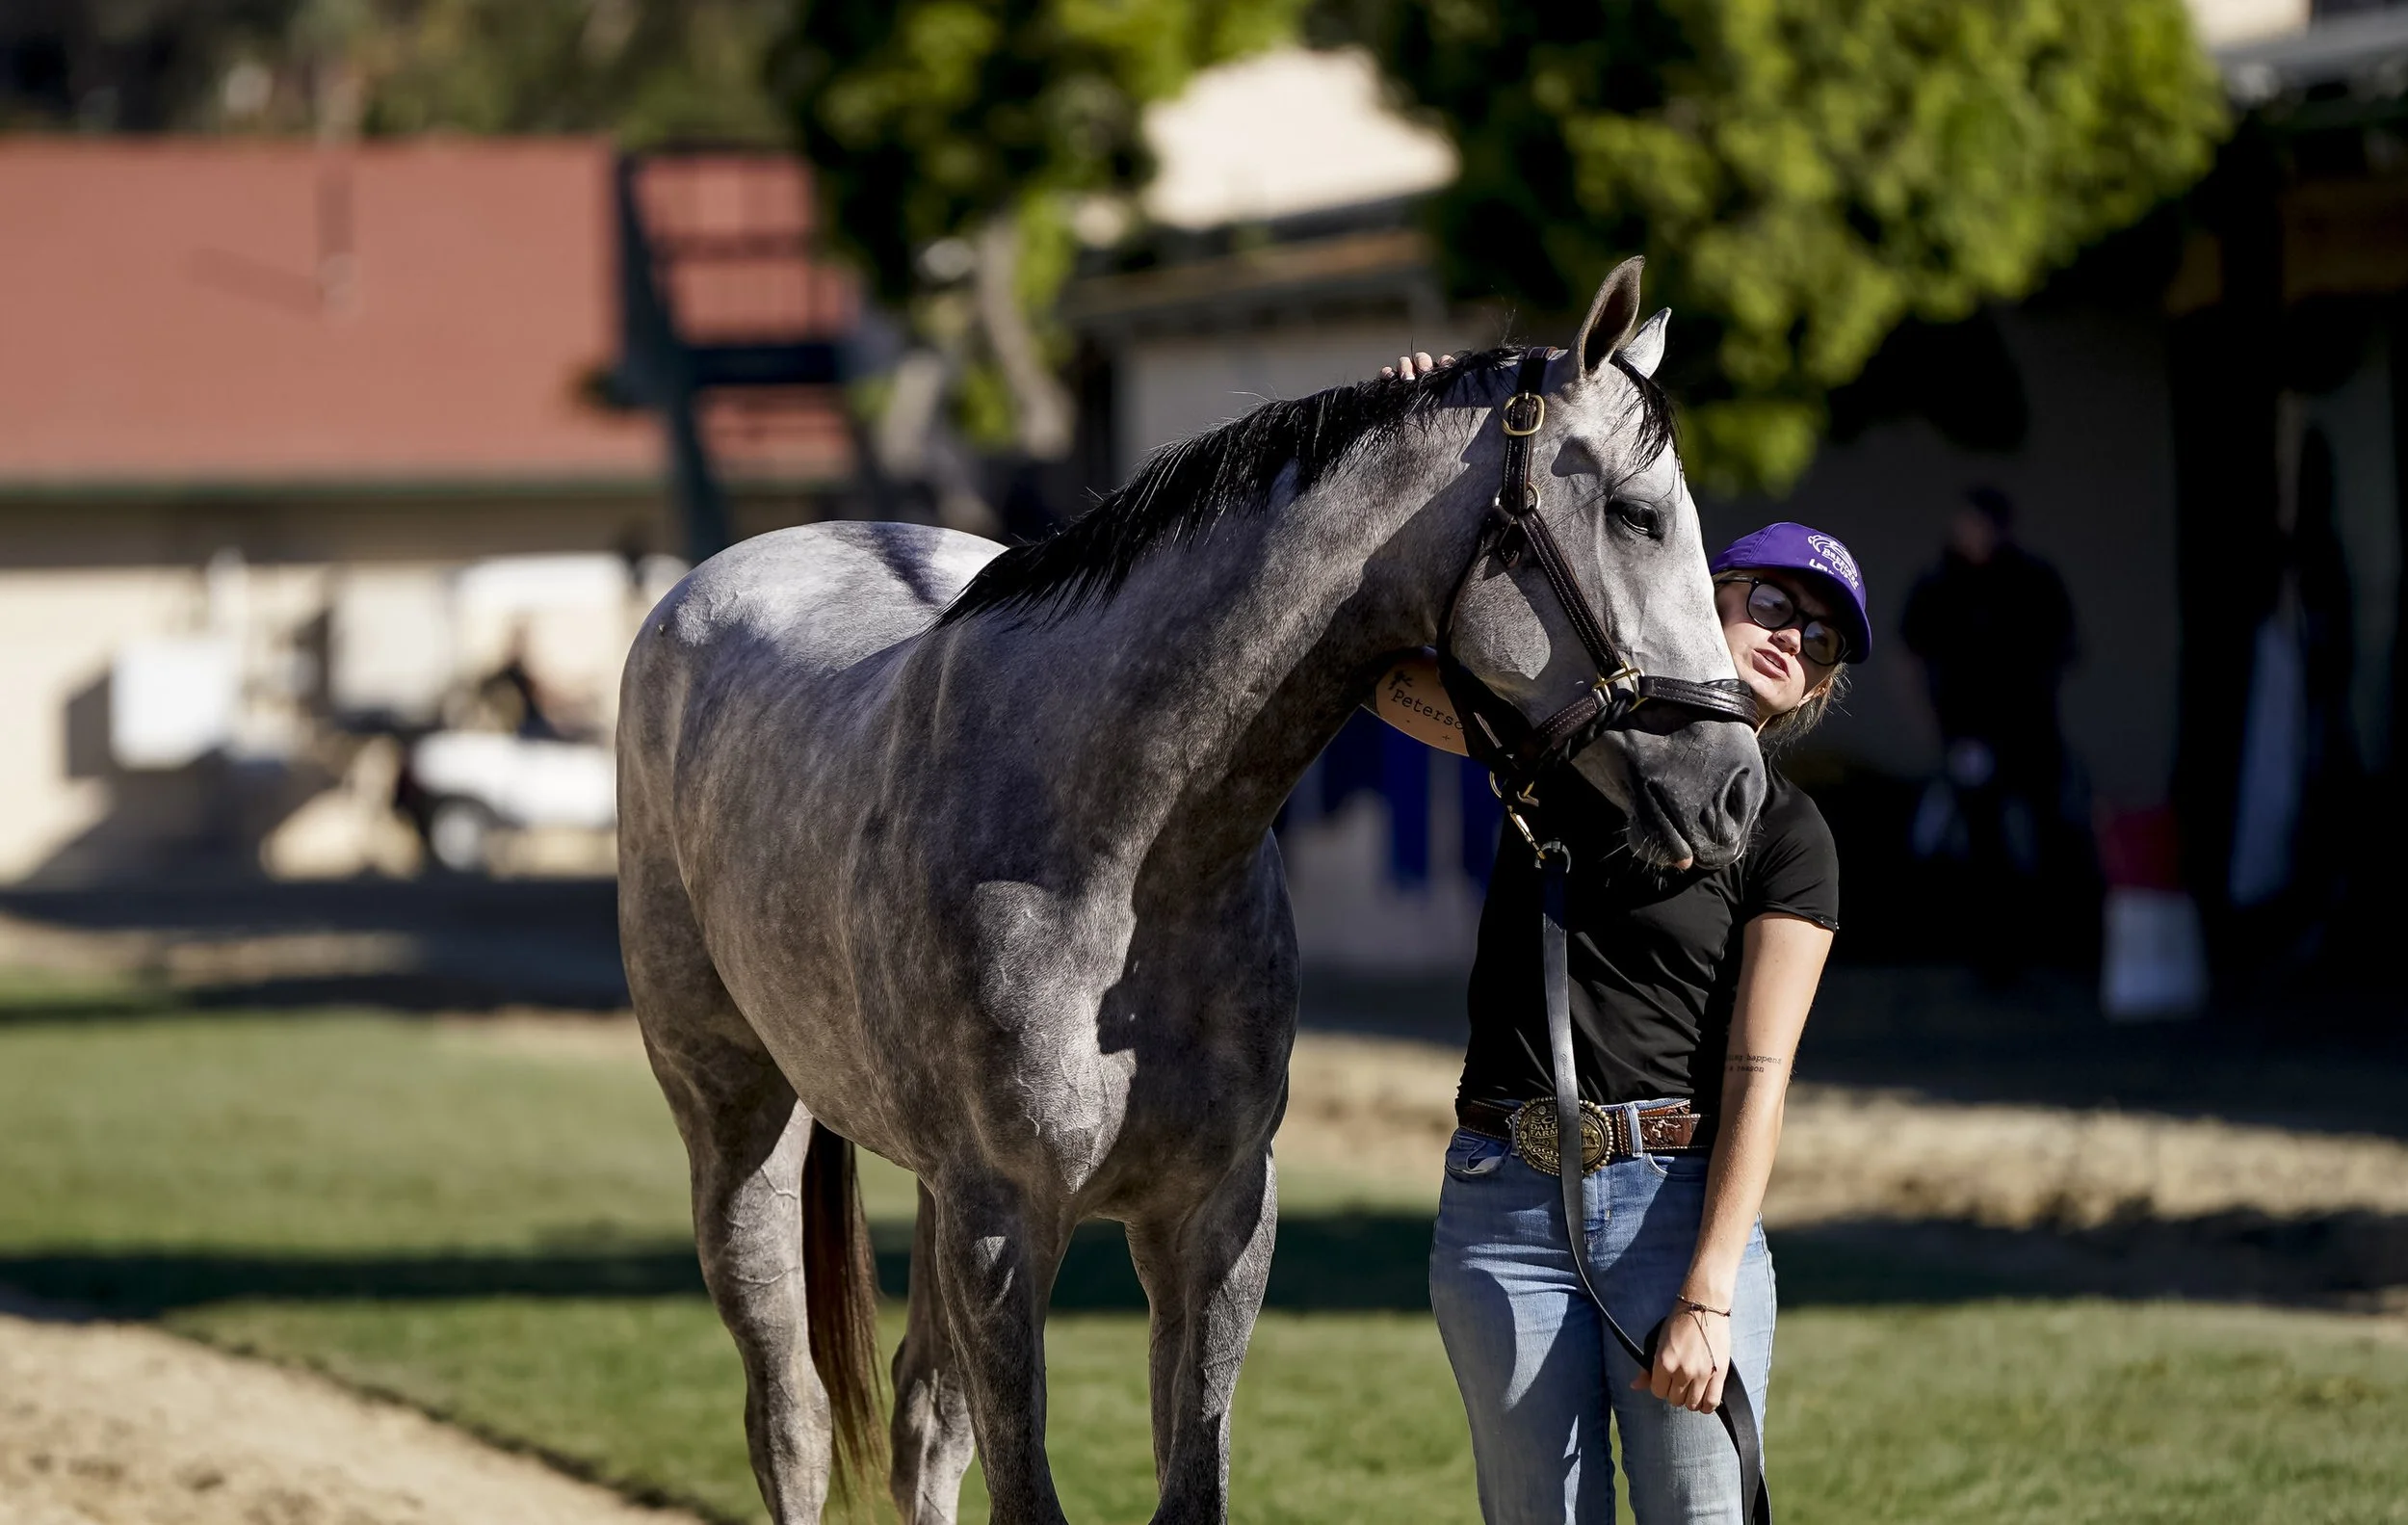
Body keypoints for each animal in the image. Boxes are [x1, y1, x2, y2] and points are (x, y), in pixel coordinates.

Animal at [615, 258, 1767, 1525]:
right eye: (1638, 513)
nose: (1735, 789)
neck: (1119, 858)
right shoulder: (1003, 1226)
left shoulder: (1213, 1222)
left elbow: (1184, 1483)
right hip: (738, 1126)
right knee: (791, 1416)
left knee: (920, 1419)